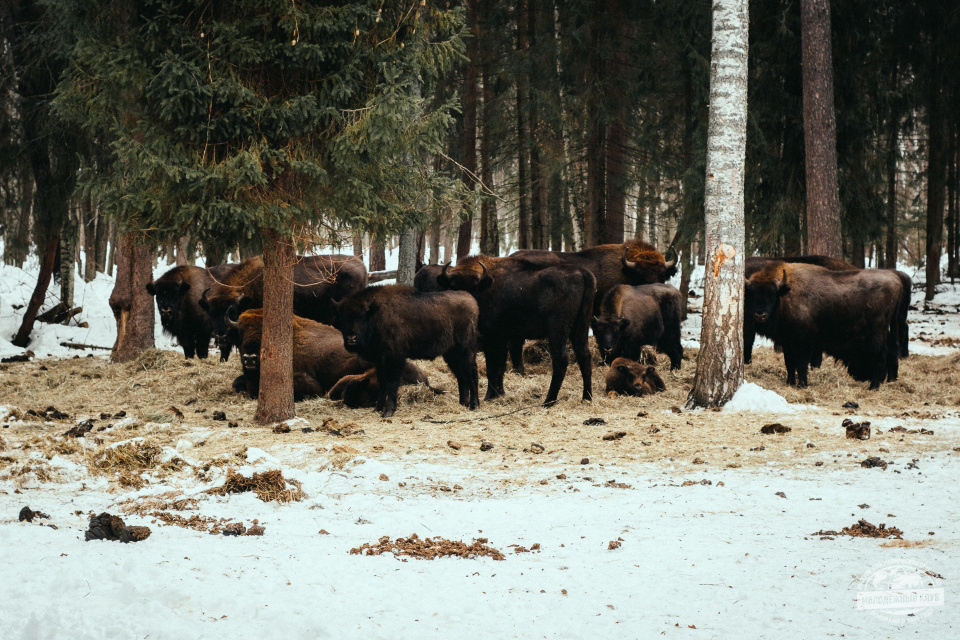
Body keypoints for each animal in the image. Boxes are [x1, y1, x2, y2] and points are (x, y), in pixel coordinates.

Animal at [332, 286, 480, 420]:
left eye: (362, 318)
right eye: (343, 318)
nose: (351, 338)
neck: (375, 313)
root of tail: (472, 301)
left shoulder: (394, 357)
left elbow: (391, 383)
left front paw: (388, 412)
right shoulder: (380, 360)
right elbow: (381, 383)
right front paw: (378, 409)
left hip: (465, 351)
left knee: (472, 374)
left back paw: (474, 405)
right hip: (452, 355)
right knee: (461, 376)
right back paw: (463, 403)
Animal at [434, 254, 592, 404]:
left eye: (475, 288)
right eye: (453, 287)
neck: (486, 286)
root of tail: (581, 272)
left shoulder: (492, 340)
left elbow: (492, 368)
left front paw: (489, 396)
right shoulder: (501, 340)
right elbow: (500, 368)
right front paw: (499, 394)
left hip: (558, 331)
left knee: (561, 360)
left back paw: (548, 401)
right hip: (580, 327)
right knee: (584, 356)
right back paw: (586, 398)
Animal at [748, 262, 904, 390]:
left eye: (772, 295)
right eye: (753, 294)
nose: (760, 315)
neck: (786, 295)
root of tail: (896, 281)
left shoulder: (804, 341)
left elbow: (801, 364)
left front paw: (802, 385)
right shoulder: (787, 342)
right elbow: (789, 363)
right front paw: (790, 383)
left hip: (877, 332)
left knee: (880, 356)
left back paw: (873, 386)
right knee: (891, 351)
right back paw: (889, 381)